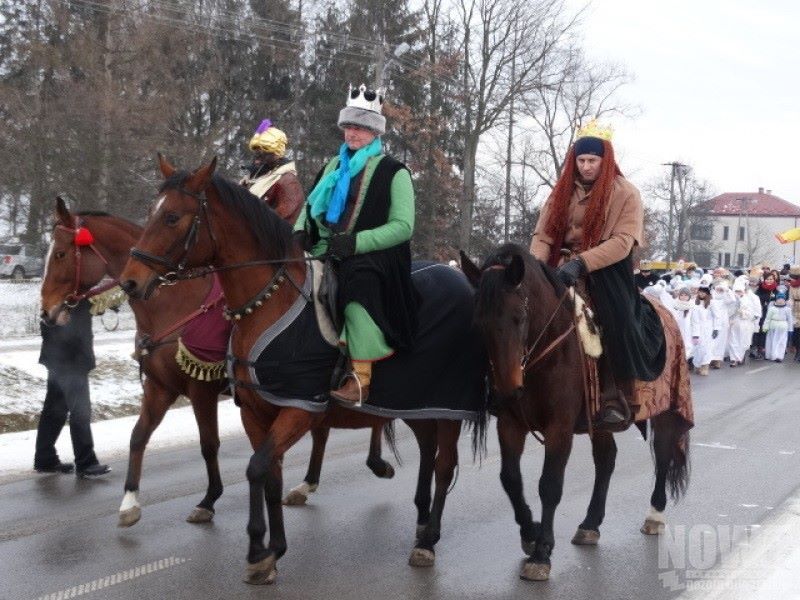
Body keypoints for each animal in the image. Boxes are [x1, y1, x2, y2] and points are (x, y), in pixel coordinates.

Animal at [115, 156, 484, 584]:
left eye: (173, 217)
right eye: (151, 212)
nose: (130, 281)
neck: (267, 304)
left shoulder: (297, 406)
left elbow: (254, 467)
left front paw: (256, 548)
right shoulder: (253, 411)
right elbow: (267, 473)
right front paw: (273, 549)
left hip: (448, 407)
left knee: (443, 464)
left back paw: (427, 540)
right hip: (416, 404)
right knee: (427, 451)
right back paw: (421, 520)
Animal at [460, 243, 692, 580]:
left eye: (519, 317)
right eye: (478, 321)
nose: (506, 391)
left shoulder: (560, 428)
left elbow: (550, 485)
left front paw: (541, 553)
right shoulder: (510, 424)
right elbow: (510, 479)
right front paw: (530, 533)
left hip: (667, 411)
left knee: (662, 456)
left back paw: (654, 515)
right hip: (601, 424)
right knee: (606, 460)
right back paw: (590, 524)